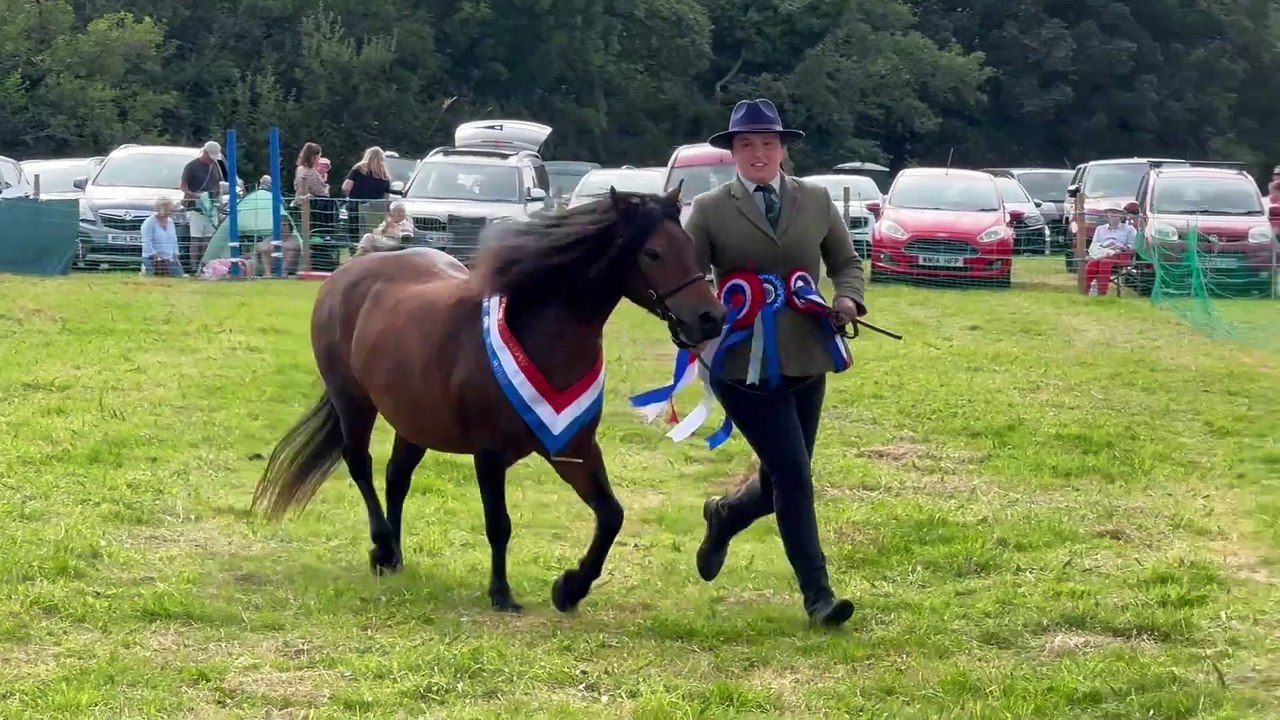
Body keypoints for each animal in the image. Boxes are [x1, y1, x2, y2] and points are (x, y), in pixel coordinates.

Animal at [250, 185, 726, 613]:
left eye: (690, 245)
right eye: (653, 253)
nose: (711, 318)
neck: (539, 335)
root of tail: (345, 275)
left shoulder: (572, 447)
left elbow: (611, 515)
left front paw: (570, 589)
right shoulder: (490, 454)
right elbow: (499, 524)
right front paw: (502, 593)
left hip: (414, 419)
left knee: (396, 476)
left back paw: (397, 556)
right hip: (354, 402)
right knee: (361, 465)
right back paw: (383, 548)